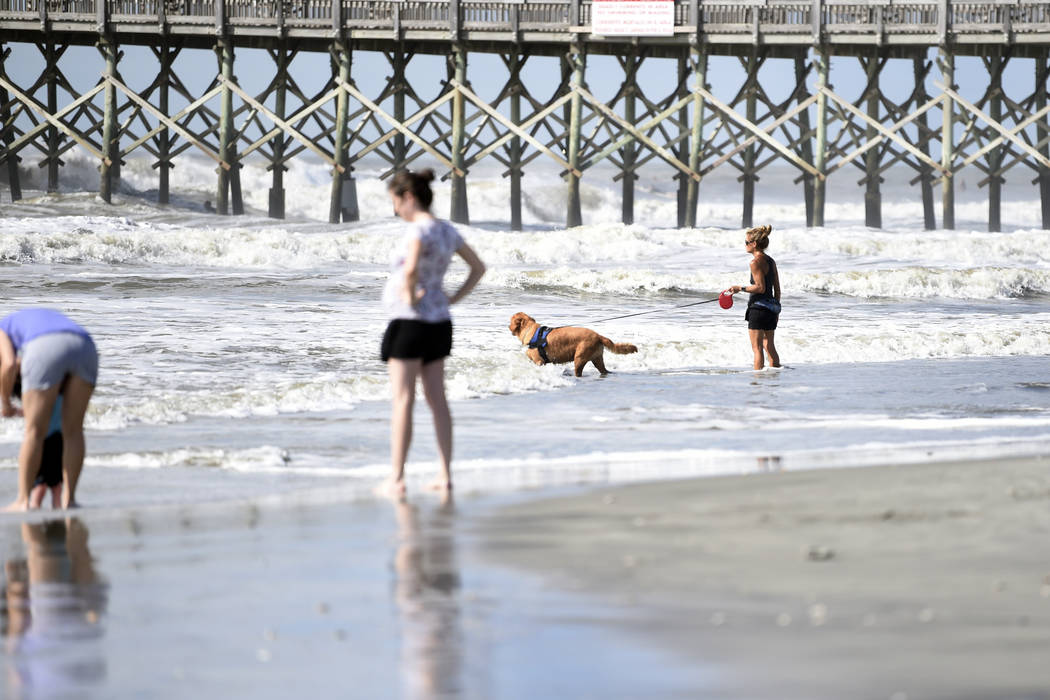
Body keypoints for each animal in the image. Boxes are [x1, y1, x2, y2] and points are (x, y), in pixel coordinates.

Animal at [508, 312, 638, 377]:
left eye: (510, 320)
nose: (508, 326)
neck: (530, 331)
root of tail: (598, 335)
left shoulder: (539, 361)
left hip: (579, 357)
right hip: (597, 358)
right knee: (603, 370)